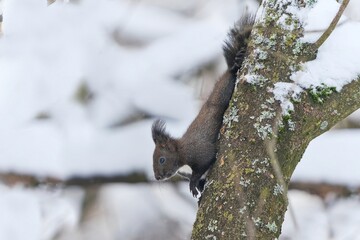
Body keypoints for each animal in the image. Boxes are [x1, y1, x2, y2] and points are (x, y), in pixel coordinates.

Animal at [150, 15, 255, 198]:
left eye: (162, 159)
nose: (157, 177)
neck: (182, 152)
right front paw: (198, 185)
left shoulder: (200, 152)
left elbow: (204, 163)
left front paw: (193, 184)